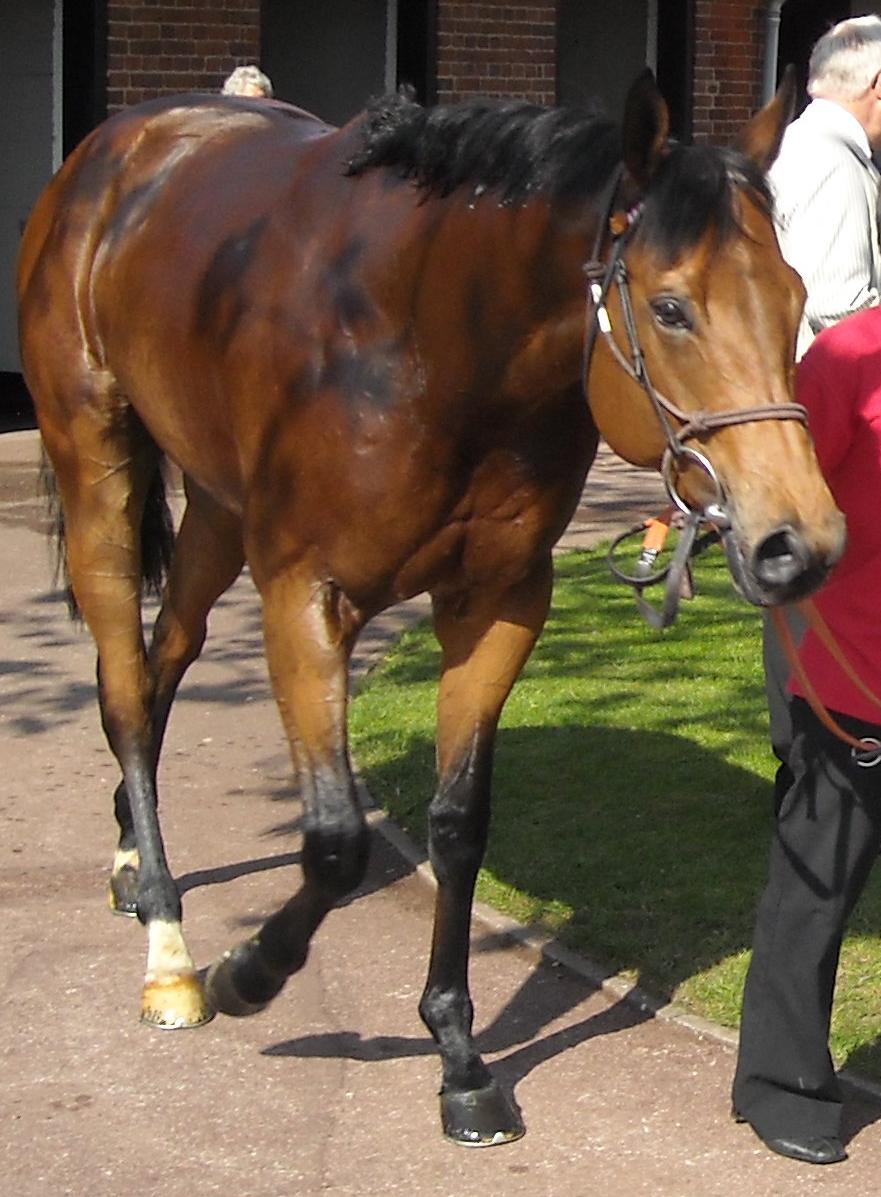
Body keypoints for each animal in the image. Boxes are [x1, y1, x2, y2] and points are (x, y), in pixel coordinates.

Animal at [17, 70, 847, 1144]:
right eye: (670, 309)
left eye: (793, 298)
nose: (801, 541)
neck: (424, 340)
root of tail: (113, 154)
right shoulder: (304, 595)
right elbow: (335, 842)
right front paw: (248, 972)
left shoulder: (499, 602)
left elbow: (457, 823)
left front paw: (457, 1056)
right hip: (98, 467)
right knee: (123, 686)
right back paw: (167, 945)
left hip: (214, 504)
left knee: (167, 656)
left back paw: (131, 851)